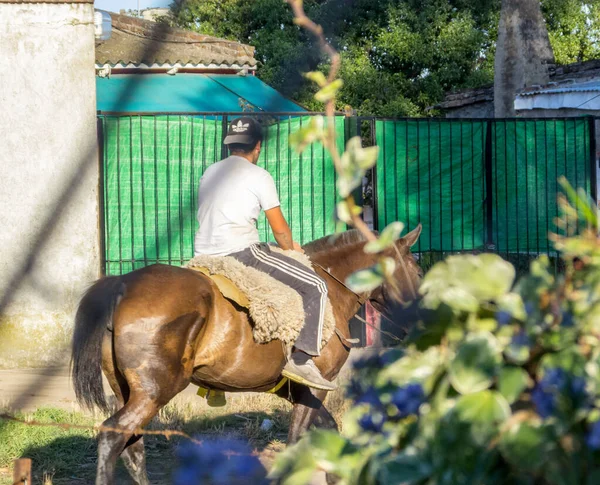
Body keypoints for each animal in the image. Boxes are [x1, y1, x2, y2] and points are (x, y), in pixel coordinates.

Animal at [71, 225, 422, 482]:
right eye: (418, 271)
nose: (420, 316)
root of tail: (123, 283)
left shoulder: (295, 390)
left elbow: (329, 430)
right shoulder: (316, 385)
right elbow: (297, 439)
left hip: (128, 390)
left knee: (133, 448)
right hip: (156, 390)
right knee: (112, 437)